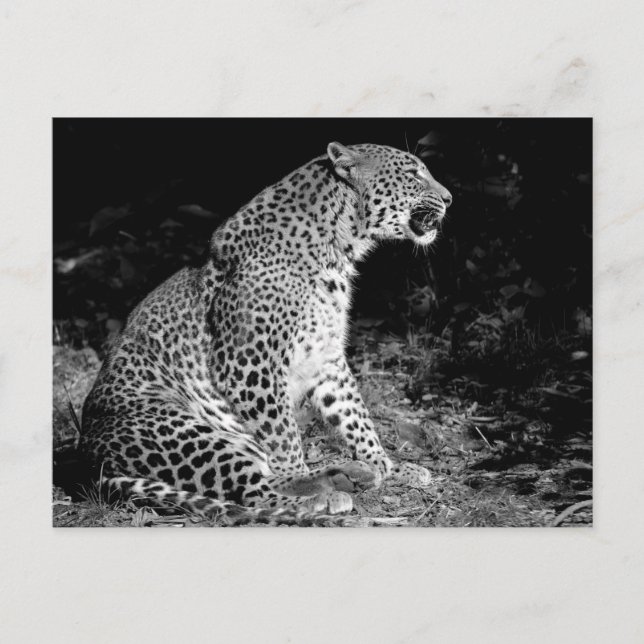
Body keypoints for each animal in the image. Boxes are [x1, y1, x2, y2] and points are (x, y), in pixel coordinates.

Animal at [80, 141, 452, 523]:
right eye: (413, 174)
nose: (450, 198)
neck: (340, 246)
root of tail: (91, 461)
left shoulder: (326, 357)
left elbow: (355, 415)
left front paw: (388, 466)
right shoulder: (249, 363)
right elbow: (282, 434)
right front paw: (308, 475)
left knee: (261, 477)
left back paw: (349, 473)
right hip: (186, 429)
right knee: (253, 492)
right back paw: (319, 497)